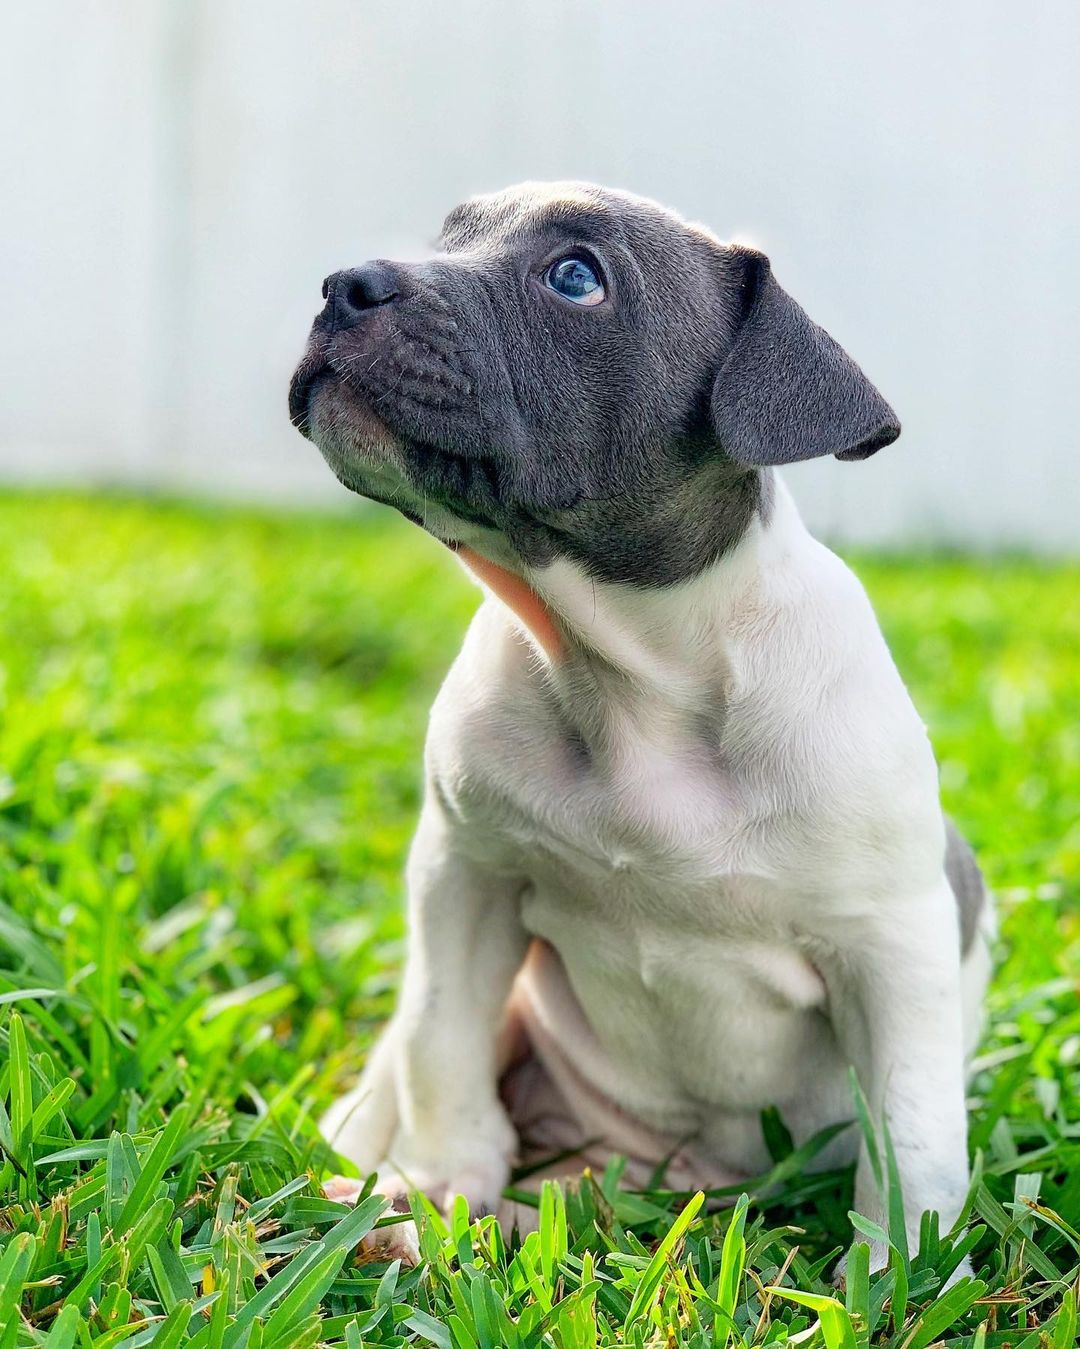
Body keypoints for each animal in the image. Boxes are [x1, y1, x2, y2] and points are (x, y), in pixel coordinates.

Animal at [285, 179, 986, 1262]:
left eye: (576, 277)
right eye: (450, 235)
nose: (343, 284)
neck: (636, 677)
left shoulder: (893, 942)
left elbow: (912, 1133)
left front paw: (899, 1272)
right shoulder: (465, 875)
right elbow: (441, 1037)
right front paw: (443, 1184)